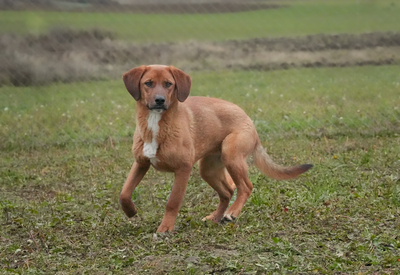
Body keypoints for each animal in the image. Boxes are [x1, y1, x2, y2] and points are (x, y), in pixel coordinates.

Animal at [119, 64, 312, 233]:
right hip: (208, 169)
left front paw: (165, 228)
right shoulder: (141, 163)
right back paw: (216, 217)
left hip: (231, 155)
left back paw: (231, 213)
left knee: (246, 187)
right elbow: (124, 193)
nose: (160, 100)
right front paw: (131, 211)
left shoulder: (183, 169)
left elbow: (172, 201)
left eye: (168, 84)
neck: (156, 125)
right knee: (227, 192)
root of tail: (248, 119)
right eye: (148, 83)